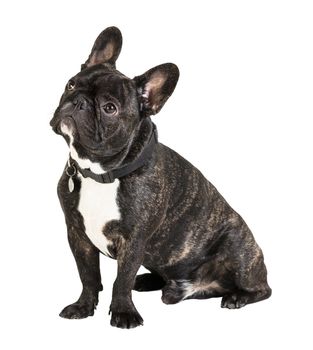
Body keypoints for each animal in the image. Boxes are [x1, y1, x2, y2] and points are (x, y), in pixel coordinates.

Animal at [50, 25, 270, 328]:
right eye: (71, 84)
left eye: (109, 108)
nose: (78, 101)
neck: (101, 173)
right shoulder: (77, 234)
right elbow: (88, 276)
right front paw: (83, 306)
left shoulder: (134, 240)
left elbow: (121, 280)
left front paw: (123, 313)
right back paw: (149, 281)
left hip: (238, 248)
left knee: (261, 289)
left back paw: (237, 297)